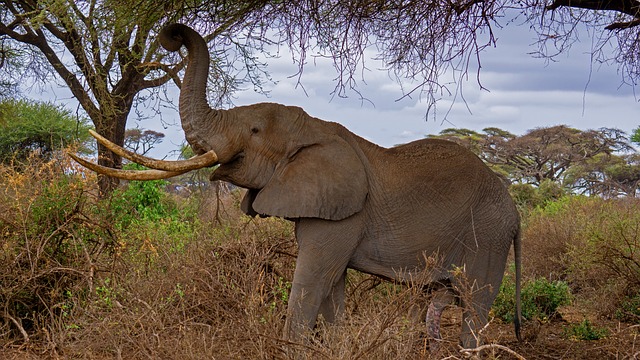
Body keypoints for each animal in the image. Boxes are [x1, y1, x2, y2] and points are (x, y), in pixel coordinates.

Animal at [71, 23, 520, 348]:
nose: (172, 36)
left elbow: (311, 282)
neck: (312, 128)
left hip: (489, 235)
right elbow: (331, 287)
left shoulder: (344, 214)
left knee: (476, 304)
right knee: (441, 300)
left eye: (253, 130)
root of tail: (514, 212)